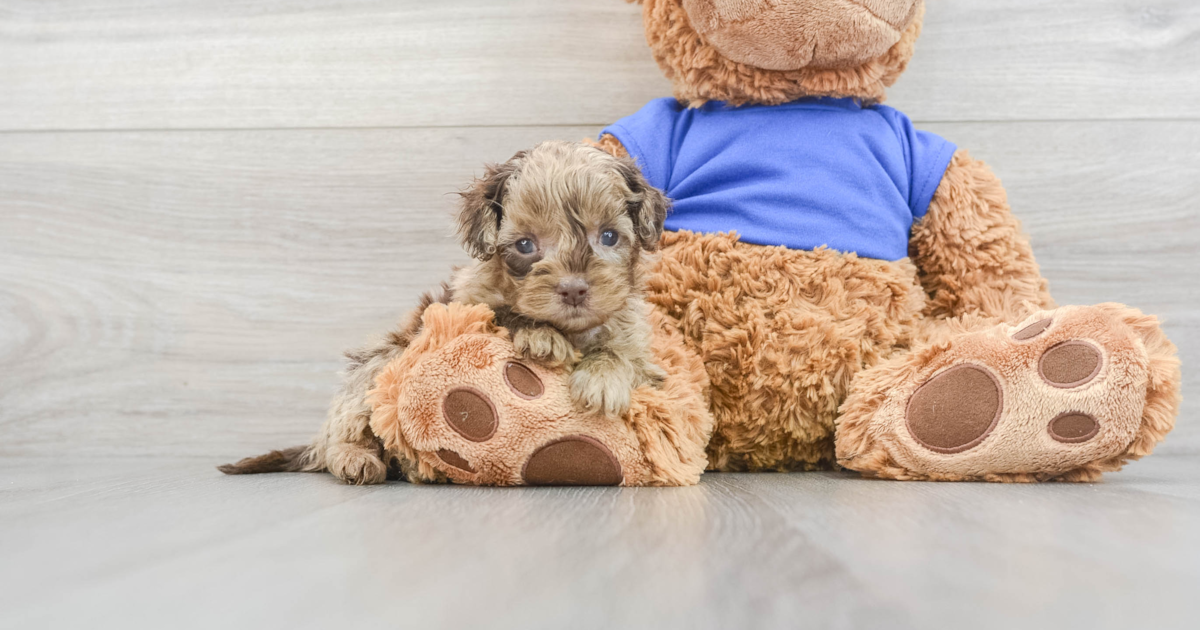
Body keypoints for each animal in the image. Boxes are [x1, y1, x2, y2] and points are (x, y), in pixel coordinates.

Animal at [220, 142, 672, 484]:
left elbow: (623, 354)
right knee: (344, 432)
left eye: (609, 236)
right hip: (376, 365)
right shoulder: (462, 304)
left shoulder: (638, 341)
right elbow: (502, 312)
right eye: (525, 245)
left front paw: (602, 378)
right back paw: (357, 458)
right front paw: (540, 334)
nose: (575, 288)